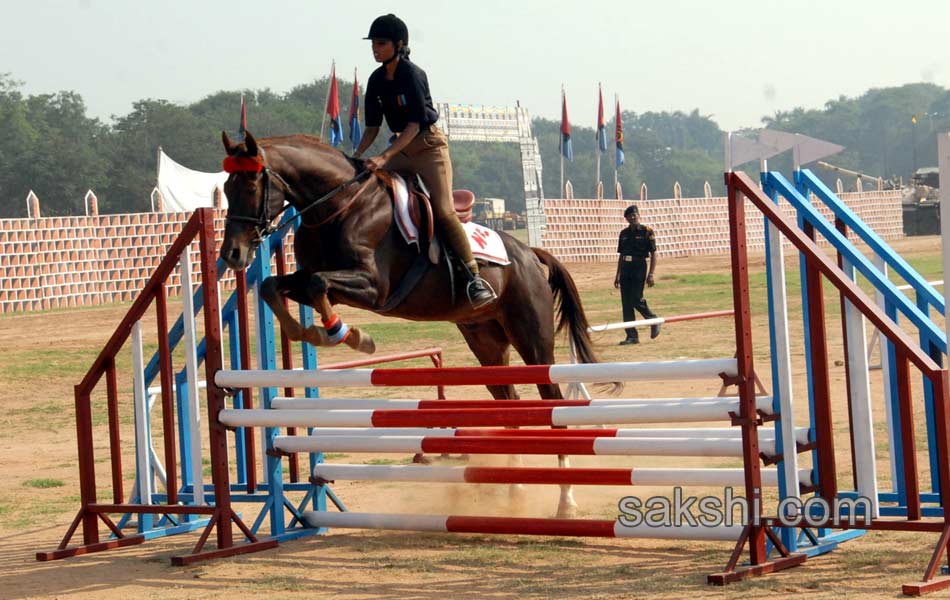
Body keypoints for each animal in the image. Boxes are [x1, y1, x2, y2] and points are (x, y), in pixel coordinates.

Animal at [221, 132, 608, 520]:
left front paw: (353, 336)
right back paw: (515, 490)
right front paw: (308, 331)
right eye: (225, 188)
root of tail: (528, 253)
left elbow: (318, 284)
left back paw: (565, 501)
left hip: (532, 339)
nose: (232, 255)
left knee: (553, 406)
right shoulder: (310, 279)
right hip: (485, 340)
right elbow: (273, 285)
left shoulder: (373, 287)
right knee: (509, 404)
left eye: (252, 185)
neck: (338, 206)